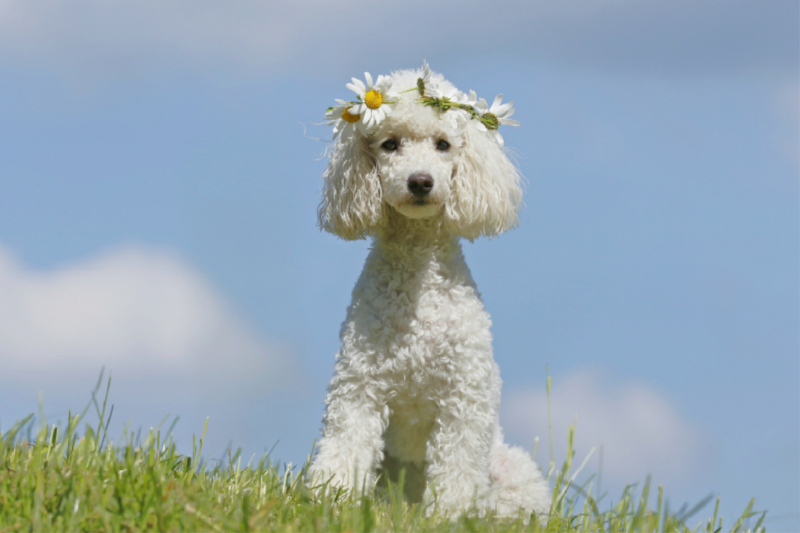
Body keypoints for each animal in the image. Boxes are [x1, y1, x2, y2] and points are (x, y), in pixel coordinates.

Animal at [308, 63, 552, 520]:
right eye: (390, 144)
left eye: (444, 145)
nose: (420, 181)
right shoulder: (358, 388)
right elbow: (345, 446)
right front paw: (332, 501)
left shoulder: (464, 398)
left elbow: (457, 466)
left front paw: (451, 516)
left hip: (512, 470)